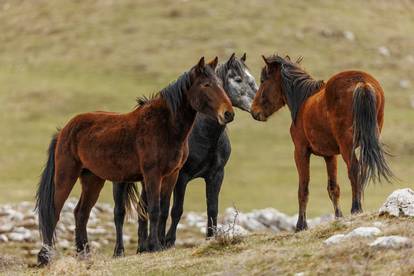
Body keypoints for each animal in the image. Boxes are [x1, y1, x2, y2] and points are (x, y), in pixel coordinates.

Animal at [35, 56, 234, 266]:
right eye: (206, 85)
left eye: (220, 83)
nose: (228, 113)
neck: (164, 126)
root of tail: (64, 130)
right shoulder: (153, 175)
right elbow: (153, 209)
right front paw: (154, 246)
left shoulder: (172, 175)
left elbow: (164, 209)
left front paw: (158, 245)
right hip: (66, 175)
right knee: (54, 213)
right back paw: (45, 257)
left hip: (93, 179)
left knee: (81, 213)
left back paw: (84, 254)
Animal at [111, 52, 258, 256]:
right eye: (238, 79)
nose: (259, 107)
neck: (203, 135)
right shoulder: (181, 176)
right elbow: (175, 210)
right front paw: (167, 242)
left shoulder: (216, 175)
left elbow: (212, 208)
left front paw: (210, 239)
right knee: (121, 212)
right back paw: (123, 250)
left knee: (142, 207)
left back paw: (142, 247)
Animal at [251, 55, 392, 232]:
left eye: (263, 80)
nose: (254, 111)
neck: (303, 102)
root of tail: (362, 83)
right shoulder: (330, 155)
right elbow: (333, 188)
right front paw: (338, 217)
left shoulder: (300, 151)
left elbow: (303, 188)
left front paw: (301, 225)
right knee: (362, 170)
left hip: (347, 145)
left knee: (354, 169)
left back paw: (356, 208)